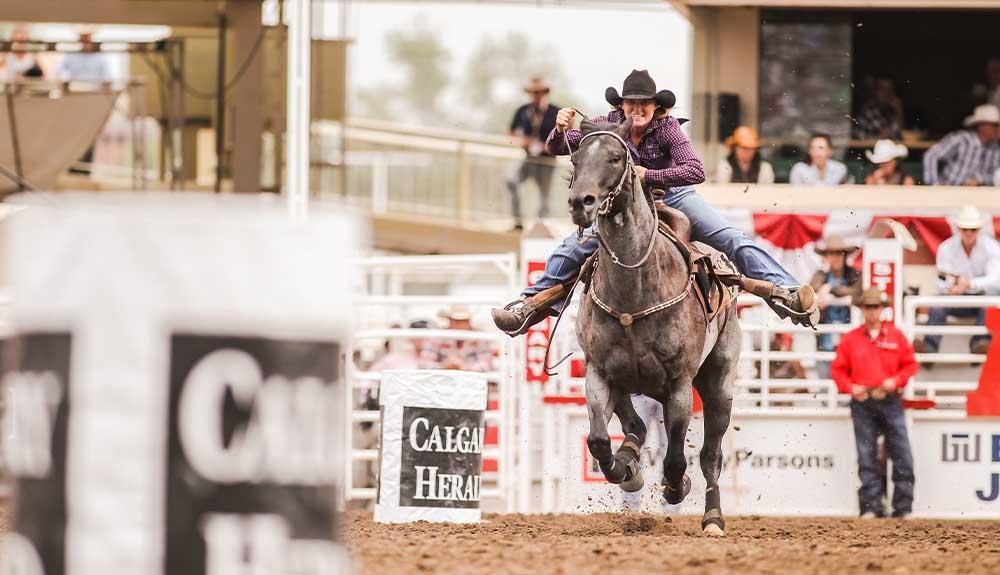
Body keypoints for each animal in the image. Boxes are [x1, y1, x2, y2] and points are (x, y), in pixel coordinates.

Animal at [567, 118, 741, 536]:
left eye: (616, 157)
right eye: (575, 158)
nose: (581, 203)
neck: (635, 290)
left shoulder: (679, 383)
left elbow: (678, 459)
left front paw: (677, 488)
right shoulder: (598, 372)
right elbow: (598, 440)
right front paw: (623, 470)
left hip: (719, 383)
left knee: (711, 455)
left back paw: (713, 517)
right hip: (628, 382)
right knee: (635, 427)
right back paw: (630, 459)